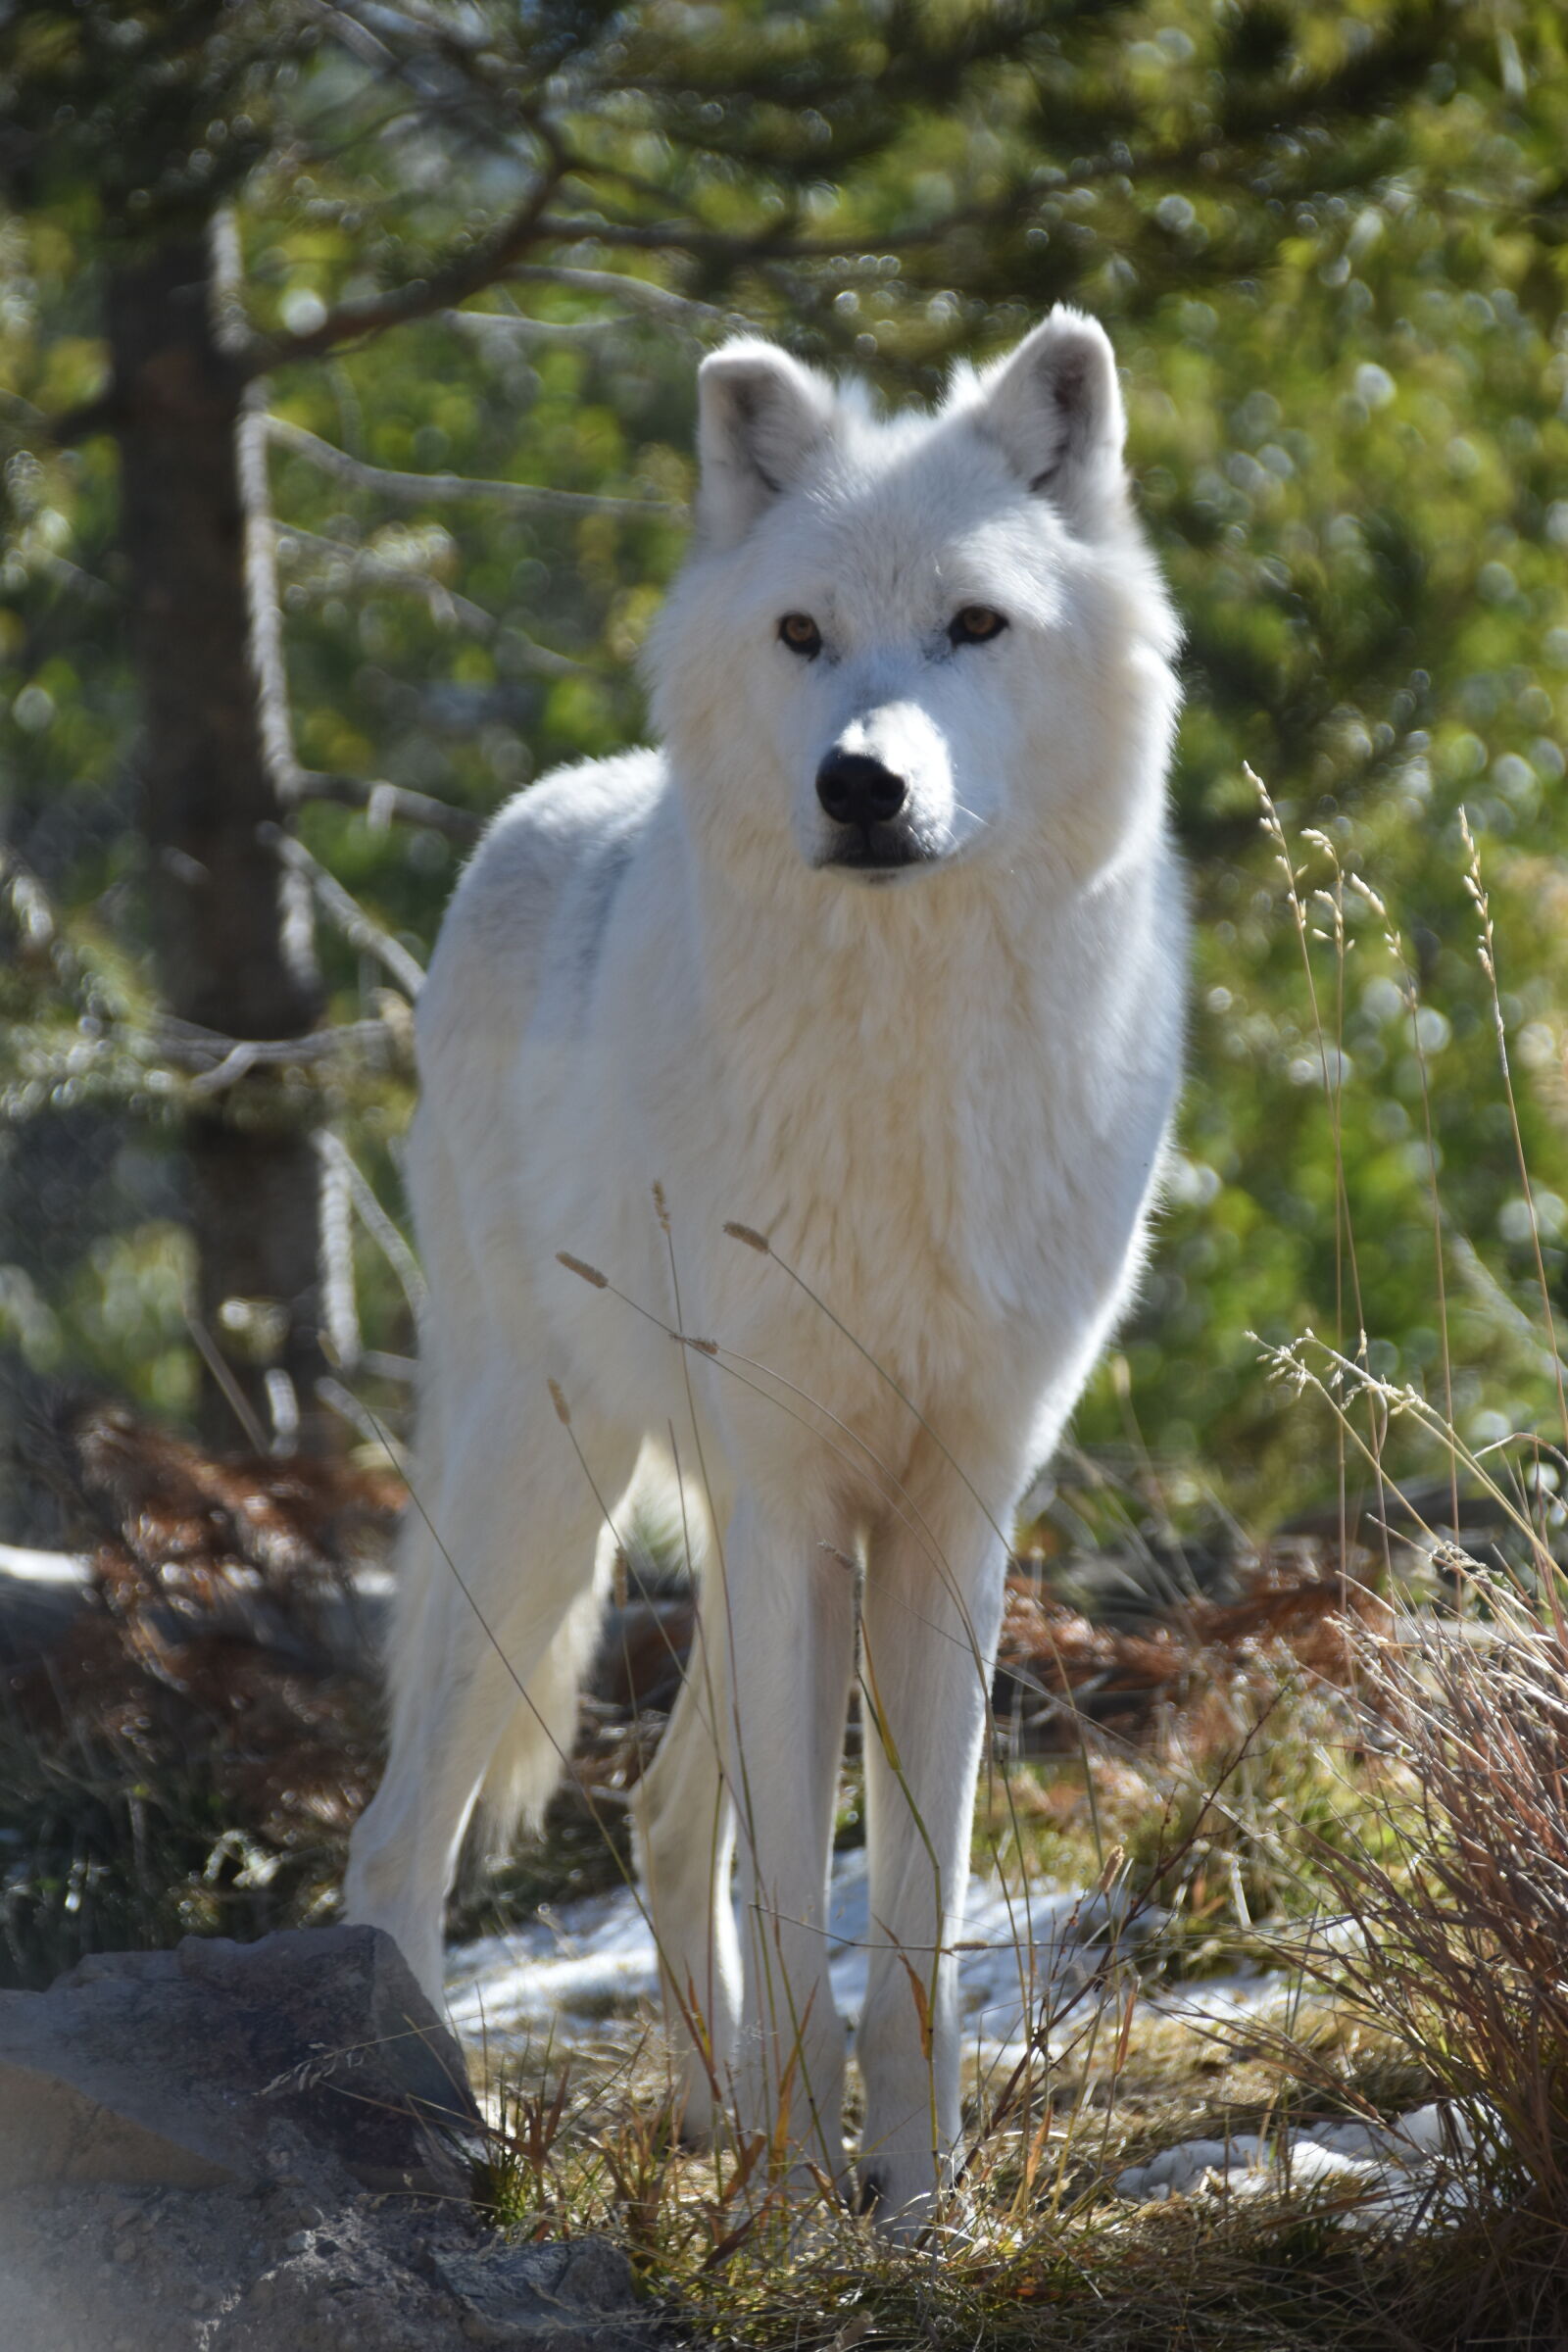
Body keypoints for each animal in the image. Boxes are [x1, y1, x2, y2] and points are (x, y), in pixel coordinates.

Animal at [344, 306, 1184, 2230]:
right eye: (802, 633)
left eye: (975, 624)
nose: (862, 784)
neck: (904, 1072)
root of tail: (532, 818)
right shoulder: (797, 1496)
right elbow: (808, 1909)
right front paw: (811, 2220)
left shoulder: (951, 1509)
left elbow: (917, 1929)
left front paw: (916, 2209)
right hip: (546, 1491)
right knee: (396, 1842)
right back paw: (434, 2117)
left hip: (694, 1522)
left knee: (660, 1819)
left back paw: (716, 2127)